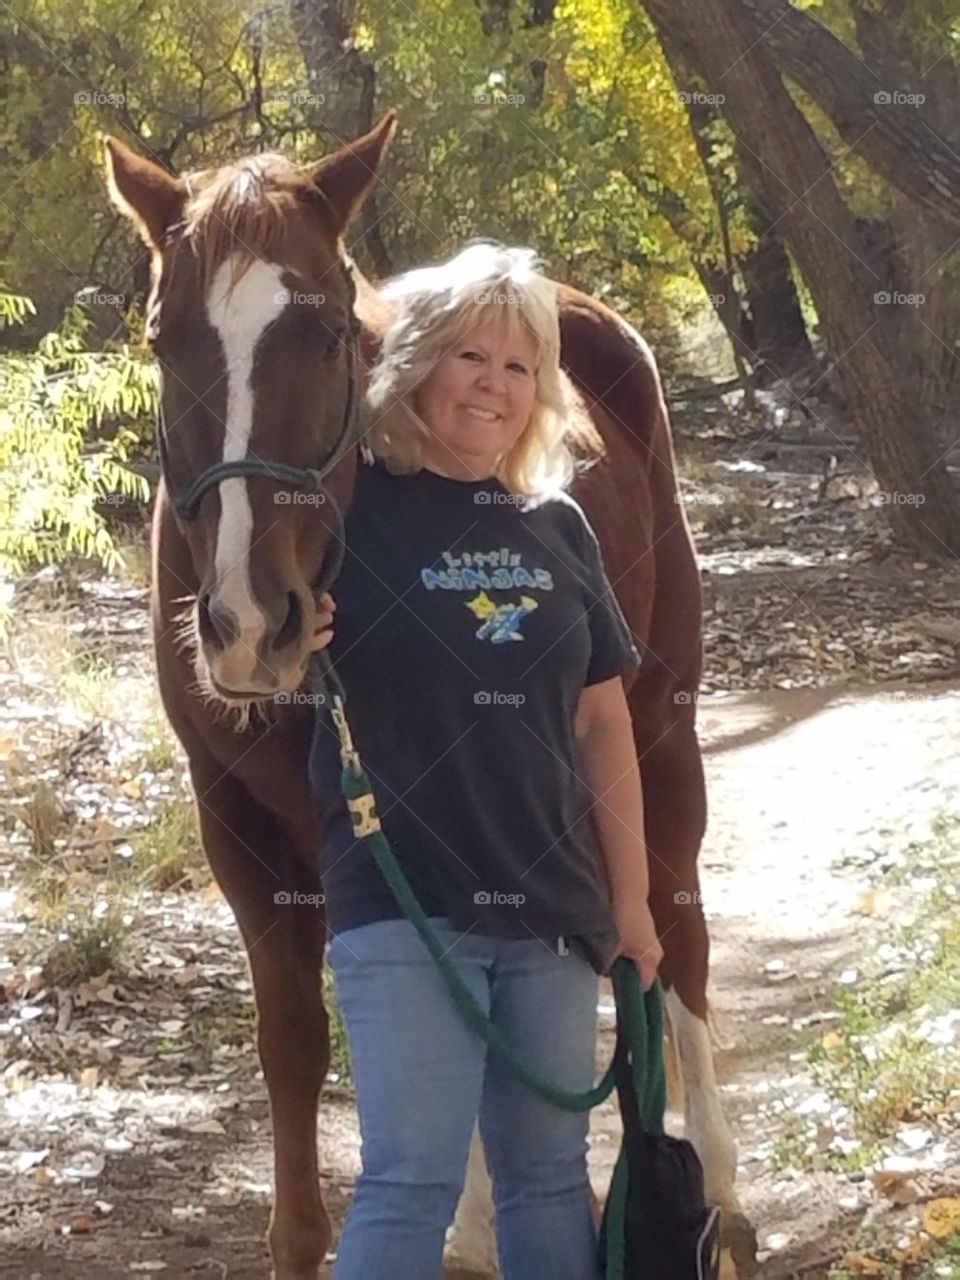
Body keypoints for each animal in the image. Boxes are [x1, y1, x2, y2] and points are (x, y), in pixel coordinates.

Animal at [103, 111, 756, 1279]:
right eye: (160, 339)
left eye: (330, 337)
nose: (251, 624)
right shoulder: (240, 825)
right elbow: (299, 1045)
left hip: (660, 731)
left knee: (675, 932)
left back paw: (719, 1187)